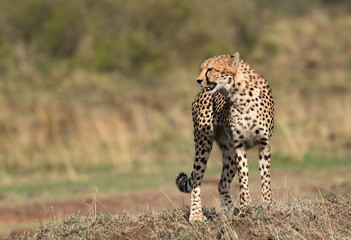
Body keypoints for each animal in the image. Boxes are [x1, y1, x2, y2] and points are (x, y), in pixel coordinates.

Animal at [176, 52, 276, 223]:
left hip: (229, 152)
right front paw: (245, 209)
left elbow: (266, 178)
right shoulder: (239, 145)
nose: (198, 80)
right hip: (203, 144)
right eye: (201, 69)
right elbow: (243, 179)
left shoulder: (263, 143)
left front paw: (267, 206)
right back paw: (196, 215)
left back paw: (230, 210)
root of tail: (199, 95)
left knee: (222, 184)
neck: (239, 93)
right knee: (196, 181)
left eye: (210, 69)